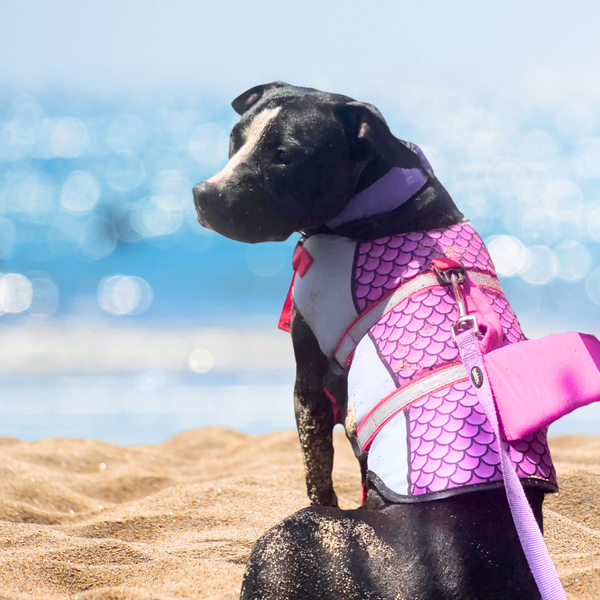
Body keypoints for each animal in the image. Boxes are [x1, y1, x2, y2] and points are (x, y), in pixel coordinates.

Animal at [193, 82, 552, 596]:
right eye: (234, 139)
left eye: (284, 155)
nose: (204, 194)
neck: (377, 203)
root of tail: (451, 572)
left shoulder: (309, 386)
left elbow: (317, 472)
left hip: (289, 540)